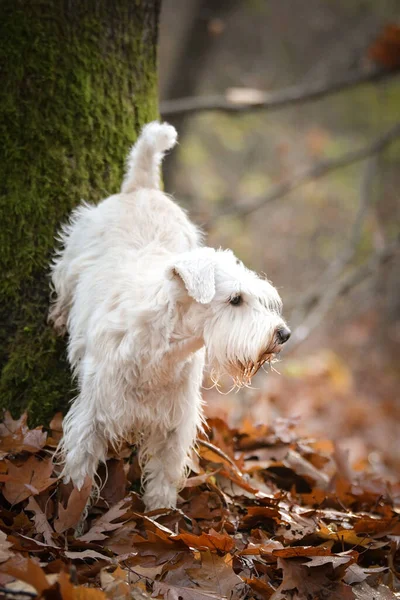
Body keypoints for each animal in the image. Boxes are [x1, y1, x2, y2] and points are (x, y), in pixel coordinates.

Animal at [48, 122, 290, 510]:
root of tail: (142, 188)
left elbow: (163, 475)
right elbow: (80, 470)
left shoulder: (175, 423)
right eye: (236, 299)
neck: (162, 349)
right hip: (73, 256)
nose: (283, 334)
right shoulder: (94, 414)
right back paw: (58, 315)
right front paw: (70, 514)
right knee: (63, 282)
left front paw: (160, 515)